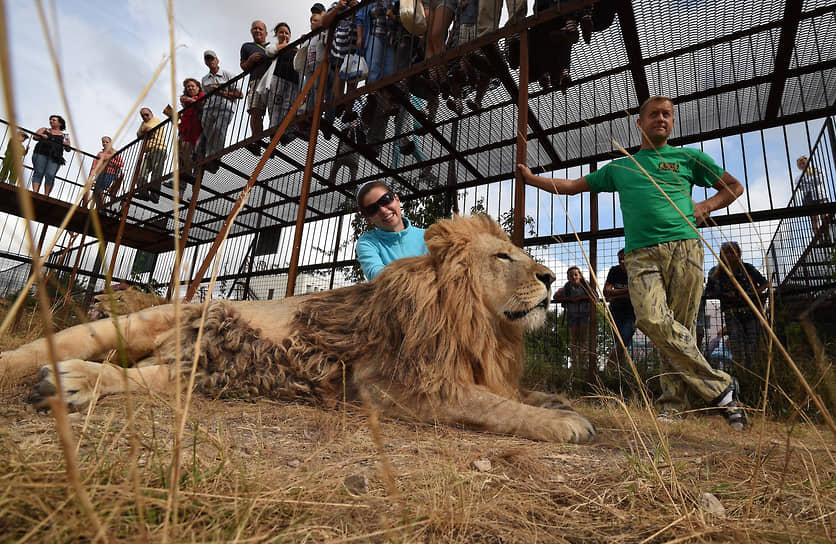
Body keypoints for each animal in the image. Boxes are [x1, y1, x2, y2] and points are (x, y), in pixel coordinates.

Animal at [3, 215, 596, 444]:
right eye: (503, 256)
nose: (550, 276)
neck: (480, 326)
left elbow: (516, 395)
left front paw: (558, 405)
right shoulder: (389, 385)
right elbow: (490, 405)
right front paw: (563, 424)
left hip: (207, 364)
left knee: (143, 378)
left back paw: (67, 381)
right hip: (148, 327)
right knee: (69, 348)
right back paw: (59, 376)